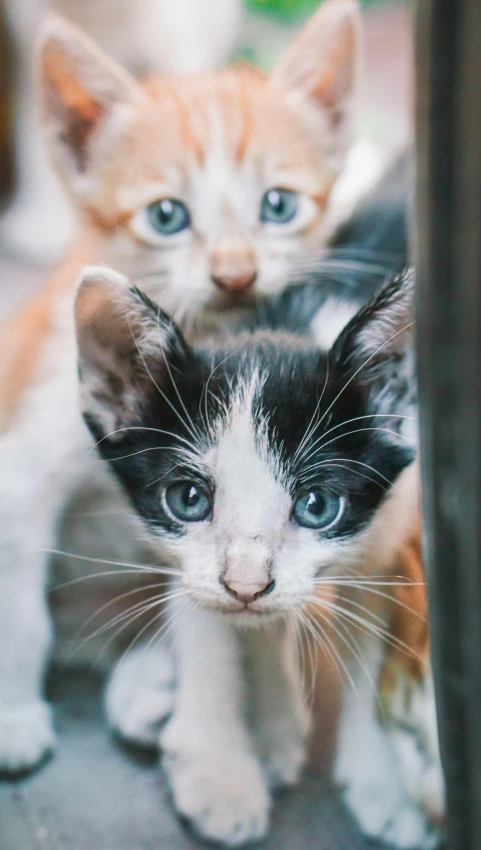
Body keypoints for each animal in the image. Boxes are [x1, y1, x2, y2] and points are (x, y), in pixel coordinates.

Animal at [76, 262, 442, 844]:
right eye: (188, 499)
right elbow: (205, 619)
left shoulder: (389, 531)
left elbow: (371, 645)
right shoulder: (194, 564)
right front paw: (220, 767)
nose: (246, 585)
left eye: (317, 505)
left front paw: (379, 779)